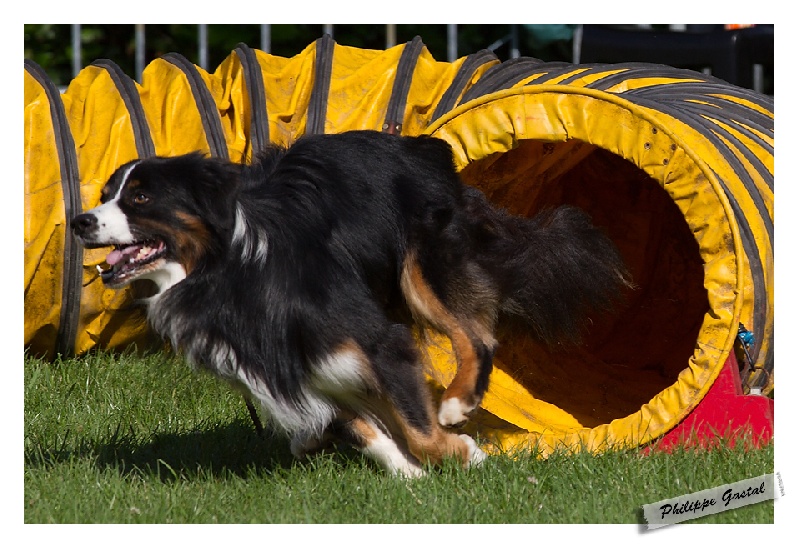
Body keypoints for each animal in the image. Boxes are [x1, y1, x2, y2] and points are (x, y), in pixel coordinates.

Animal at [71, 130, 631, 477]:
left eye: (141, 198)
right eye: (105, 194)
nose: (79, 221)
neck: (221, 273)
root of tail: (418, 145)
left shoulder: (377, 340)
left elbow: (415, 425)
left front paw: (461, 453)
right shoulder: (296, 369)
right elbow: (361, 427)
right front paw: (408, 476)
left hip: (421, 270)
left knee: (475, 334)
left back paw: (456, 403)